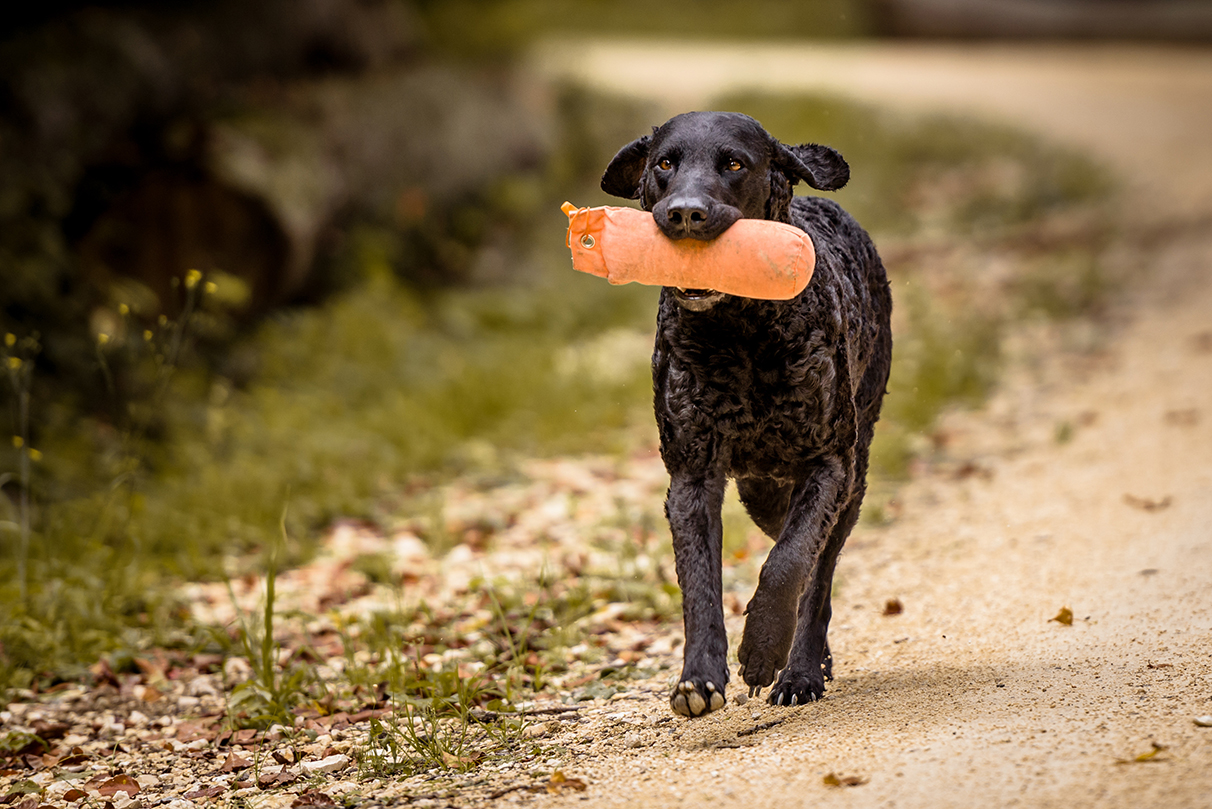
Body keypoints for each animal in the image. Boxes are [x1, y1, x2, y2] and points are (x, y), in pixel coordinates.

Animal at [601, 110, 896, 718]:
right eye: (664, 163)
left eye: (734, 163)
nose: (684, 213)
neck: (739, 333)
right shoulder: (692, 476)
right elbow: (699, 583)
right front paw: (698, 678)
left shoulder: (828, 463)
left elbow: (790, 563)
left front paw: (761, 650)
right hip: (761, 490)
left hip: (853, 476)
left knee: (819, 573)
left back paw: (801, 669)